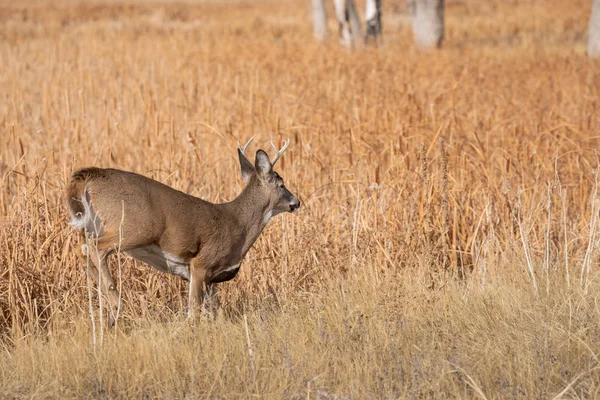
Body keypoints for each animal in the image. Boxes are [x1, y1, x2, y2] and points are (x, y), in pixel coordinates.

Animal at [65, 139, 300, 324]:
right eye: (281, 184)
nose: (296, 202)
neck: (239, 225)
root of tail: (92, 177)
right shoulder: (201, 262)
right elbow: (193, 312)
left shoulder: (206, 277)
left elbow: (216, 313)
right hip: (133, 228)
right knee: (96, 248)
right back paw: (115, 305)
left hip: (96, 226)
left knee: (84, 250)